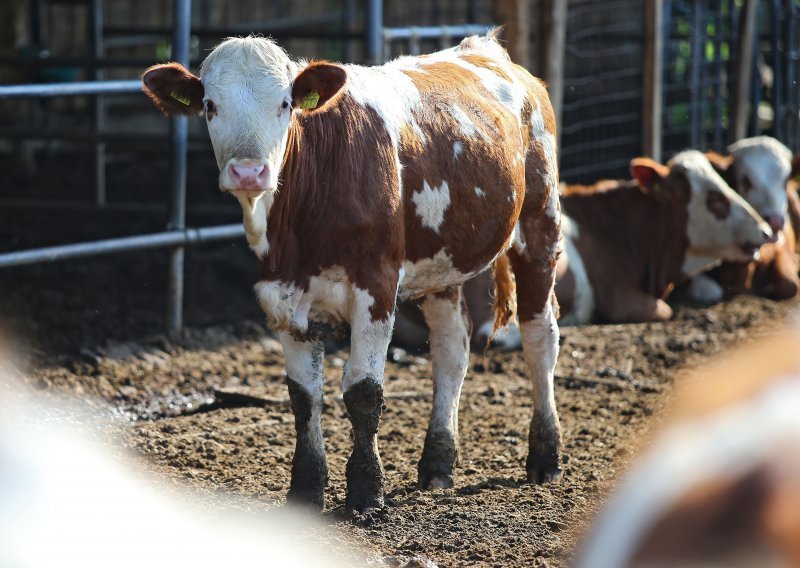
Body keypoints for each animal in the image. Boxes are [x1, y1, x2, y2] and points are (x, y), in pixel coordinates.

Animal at [141, 31, 564, 512]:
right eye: (210, 105)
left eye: (285, 103)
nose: (249, 172)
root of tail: (489, 50)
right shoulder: (281, 294)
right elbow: (303, 396)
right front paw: (305, 489)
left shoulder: (375, 288)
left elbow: (363, 390)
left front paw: (365, 491)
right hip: (442, 263)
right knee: (451, 348)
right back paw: (437, 464)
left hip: (540, 223)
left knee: (540, 336)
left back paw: (545, 456)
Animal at [688, 135, 800, 302]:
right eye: (745, 181)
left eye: (785, 182)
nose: (775, 222)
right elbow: (709, 290)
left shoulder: (781, 248)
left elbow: (790, 285)